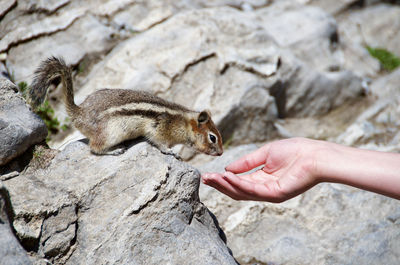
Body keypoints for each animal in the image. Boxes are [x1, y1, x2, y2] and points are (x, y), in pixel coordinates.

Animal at [29, 55, 223, 155]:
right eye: (212, 137)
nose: (221, 152)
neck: (182, 122)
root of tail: (79, 112)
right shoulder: (159, 129)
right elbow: (158, 142)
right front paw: (170, 152)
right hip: (109, 133)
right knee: (94, 148)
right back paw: (113, 151)